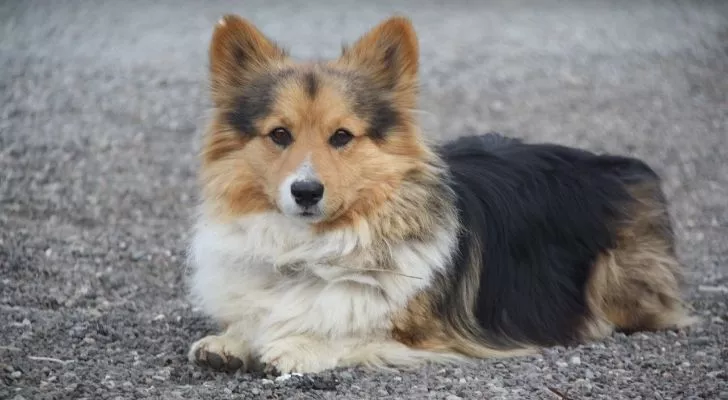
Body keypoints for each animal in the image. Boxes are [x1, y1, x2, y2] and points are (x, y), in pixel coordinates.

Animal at [185, 13, 696, 376]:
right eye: (280, 135)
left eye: (342, 137)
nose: (306, 191)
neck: (310, 248)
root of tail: (614, 164)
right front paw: (231, 340)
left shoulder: (427, 335)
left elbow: (352, 331)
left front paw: (295, 345)